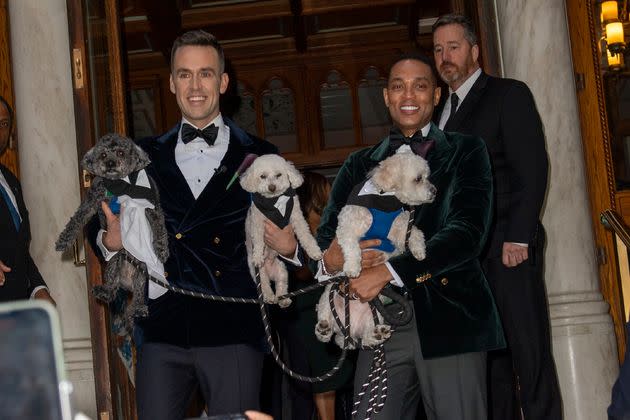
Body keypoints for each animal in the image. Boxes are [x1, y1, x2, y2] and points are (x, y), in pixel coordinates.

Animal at [239, 154, 324, 308]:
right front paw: (258, 256)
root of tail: (270, 271)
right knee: (265, 287)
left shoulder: (297, 218)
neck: (274, 202)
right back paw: (268, 297)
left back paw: (283, 300)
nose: (272, 187)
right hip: (260, 275)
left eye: (278, 175)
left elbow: (306, 235)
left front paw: (314, 251)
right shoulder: (257, 224)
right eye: (262, 176)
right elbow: (258, 241)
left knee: (281, 286)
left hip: (282, 271)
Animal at [318, 153, 436, 350]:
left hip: (376, 314)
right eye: (418, 179)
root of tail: (350, 333)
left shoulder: (400, 226)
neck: (384, 199)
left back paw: (377, 334)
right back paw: (323, 329)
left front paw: (419, 250)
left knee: (367, 338)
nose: (434, 191)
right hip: (327, 297)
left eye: (427, 176)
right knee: (326, 328)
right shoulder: (348, 226)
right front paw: (352, 267)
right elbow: (351, 246)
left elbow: (415, 233)